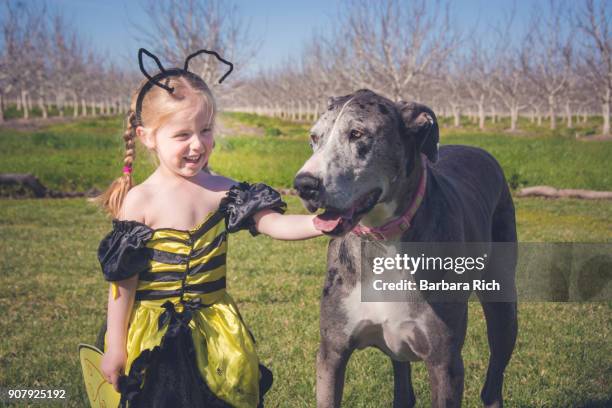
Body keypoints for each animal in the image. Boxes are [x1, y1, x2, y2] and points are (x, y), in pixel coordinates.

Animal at [292, 90, 516, 408]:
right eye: (314, 137)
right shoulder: (331, 354)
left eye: (357, 133)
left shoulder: (444, 362)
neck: (383, 241)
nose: (304, 184)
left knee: (494, 381)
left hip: (503, 307)